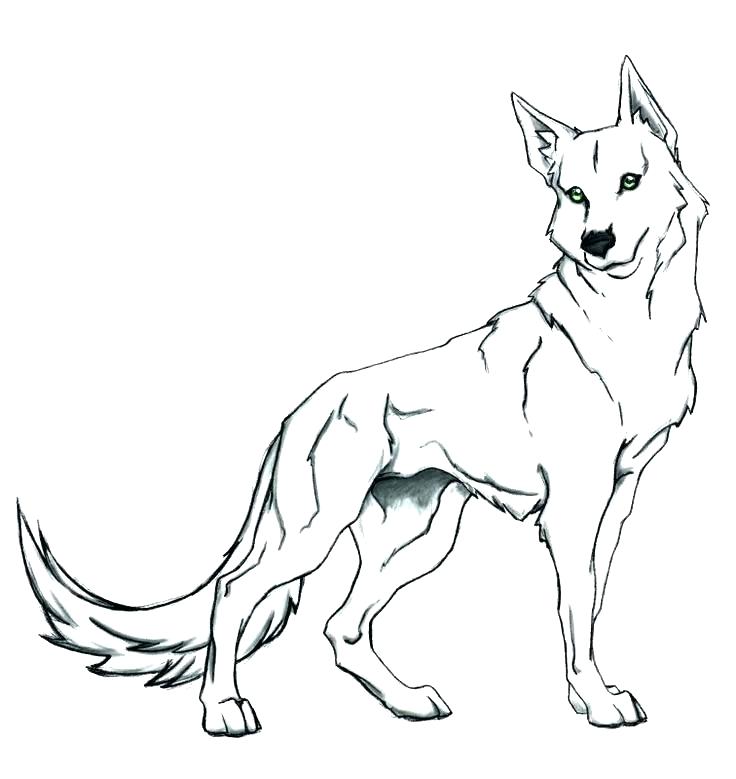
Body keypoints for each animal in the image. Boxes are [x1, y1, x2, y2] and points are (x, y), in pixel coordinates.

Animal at [19, 57, 708, 735]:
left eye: (631, 181)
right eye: (575, 195)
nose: (596, 241)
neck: (629, 320)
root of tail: (303, 409)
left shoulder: (612, 505)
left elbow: (587, 608)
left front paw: (593, 694)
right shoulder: (571, 513)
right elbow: (575, 615)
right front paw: (594, 702)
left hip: (419, 539)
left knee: (341, 628)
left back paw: (406, 702)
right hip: (313, 531)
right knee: (235, 593)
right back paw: (223, 708)